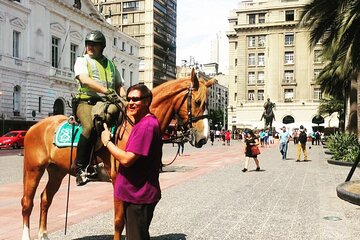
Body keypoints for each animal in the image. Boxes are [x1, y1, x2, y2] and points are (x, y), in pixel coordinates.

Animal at [21, 68, 214, 239]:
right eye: (198, 102)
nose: (204, 138)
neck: (133, 123)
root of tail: (33, 127)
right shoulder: (117, 180)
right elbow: (119, 221)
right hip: (33, 170)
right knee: (27, 202)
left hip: (57, 171)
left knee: (45, 199)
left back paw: (43, 235)